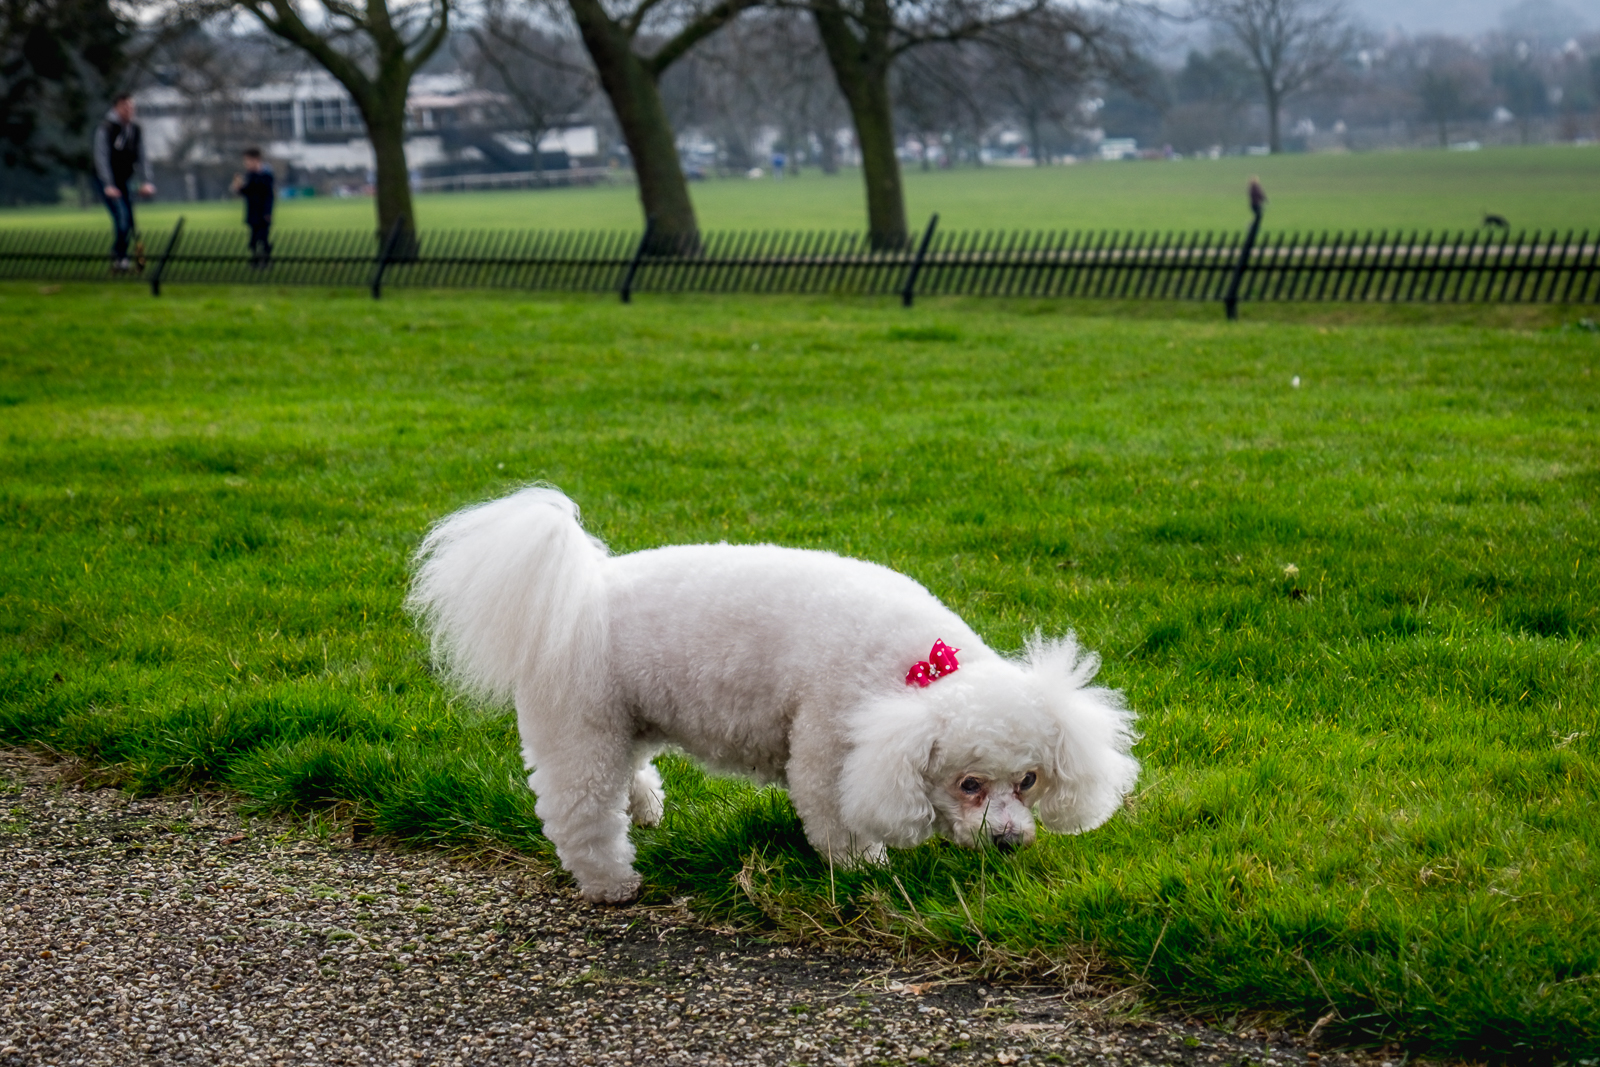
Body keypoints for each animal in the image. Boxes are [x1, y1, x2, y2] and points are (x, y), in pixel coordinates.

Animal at [409, 489, 1139, 908]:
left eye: (1029, 779)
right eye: (968, 784)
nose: (1011, 843)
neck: (914, 673)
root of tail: (576, 591)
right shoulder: (829, 741)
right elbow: (837, 820)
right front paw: (865, 873)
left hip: (625, 716)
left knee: (628, 772)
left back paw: (645, 808)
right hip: (577, 726)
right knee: (579, 811)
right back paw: (612, 884)